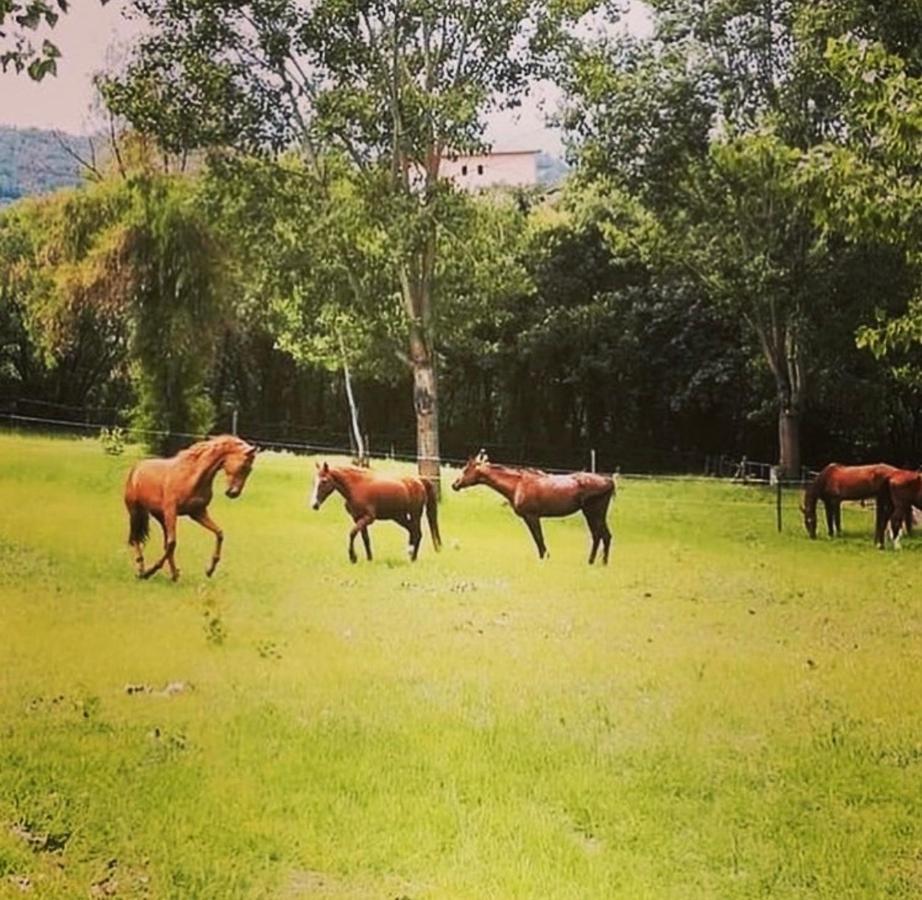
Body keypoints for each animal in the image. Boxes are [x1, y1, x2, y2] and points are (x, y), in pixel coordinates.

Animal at [122, 434, 256, 576]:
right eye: (244, 466)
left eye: (250, 469)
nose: (233, 493)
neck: (191, 476)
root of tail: (136, 469)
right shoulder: (172, 510)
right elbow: (172, 543)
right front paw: (151, 571)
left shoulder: (197, 512)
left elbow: (219, 533)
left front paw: (210, 570)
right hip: (135, 512)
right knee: (136, 538)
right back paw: (142, 571)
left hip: (160, 516)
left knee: (164, 542)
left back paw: (173, 574)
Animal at [308, 464, 440, 564]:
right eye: (314, 481)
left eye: (324, 481)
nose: (314, 505)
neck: (356, 486)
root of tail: (419, 480)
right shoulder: (357, 518)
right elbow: (365, 539)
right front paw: (369, 559)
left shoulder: (368, 518)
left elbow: (352, 533)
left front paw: (353, 557)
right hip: (399, 517)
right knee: (413, 531)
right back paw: (411, 554)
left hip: (415, 514)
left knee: (417, 533)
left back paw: (413, 557)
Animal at [452, 450, 616, 564]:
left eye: (466, 470)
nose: (455, 484)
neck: (518, 485)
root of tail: (608, 481)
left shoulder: (532, 516)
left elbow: (538, 537)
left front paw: (544, 557)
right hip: (594, 514)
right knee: (601, 536)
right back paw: (595, 562)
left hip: (593, 513)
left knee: (601, 535)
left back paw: (598, 562)